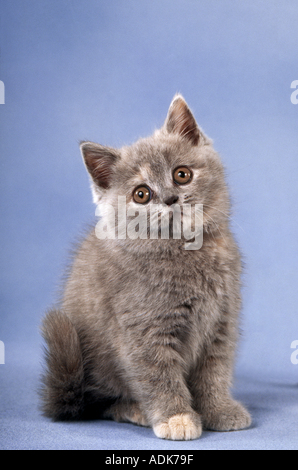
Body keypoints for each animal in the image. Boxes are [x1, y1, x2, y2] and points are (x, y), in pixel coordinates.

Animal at [40, 93, 251, 438]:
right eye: (141, 194)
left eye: (182, 174)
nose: (169, 198)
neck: (183, 250)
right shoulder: (143, 329)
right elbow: (158, 375)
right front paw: (177, 418)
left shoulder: (222, 322)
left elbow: (214, 371)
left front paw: (219, 410)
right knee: (104, 403)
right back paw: (135, 410)